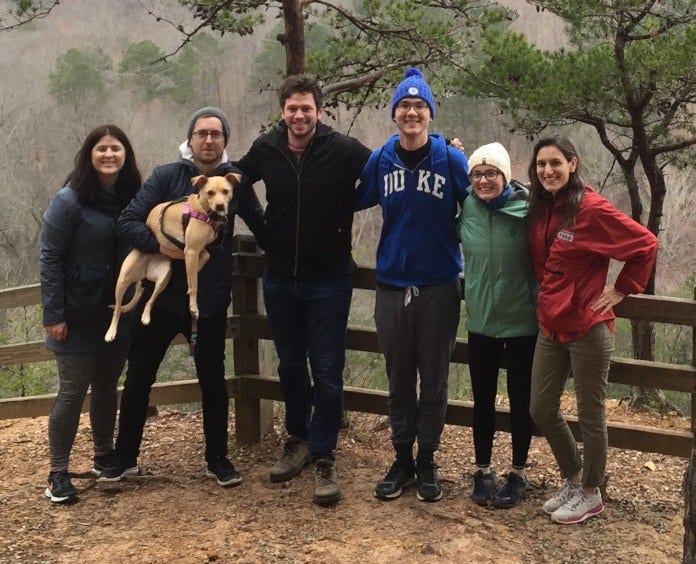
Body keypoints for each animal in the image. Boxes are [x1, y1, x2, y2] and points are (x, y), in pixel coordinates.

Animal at [104, 172, 239, 342]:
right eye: (210, 193)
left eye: (226, 191)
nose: (220, 206)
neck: (203, 209)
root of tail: (144, 271)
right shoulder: (191, 250)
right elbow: (194, 284)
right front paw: (193, 307)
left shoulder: (195, 250)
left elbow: (205, 257)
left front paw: (197, 268)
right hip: (122, 280)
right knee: (117, 309)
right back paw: (111, 332)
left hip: (163, 278)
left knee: (149, 300)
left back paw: (146, 316)